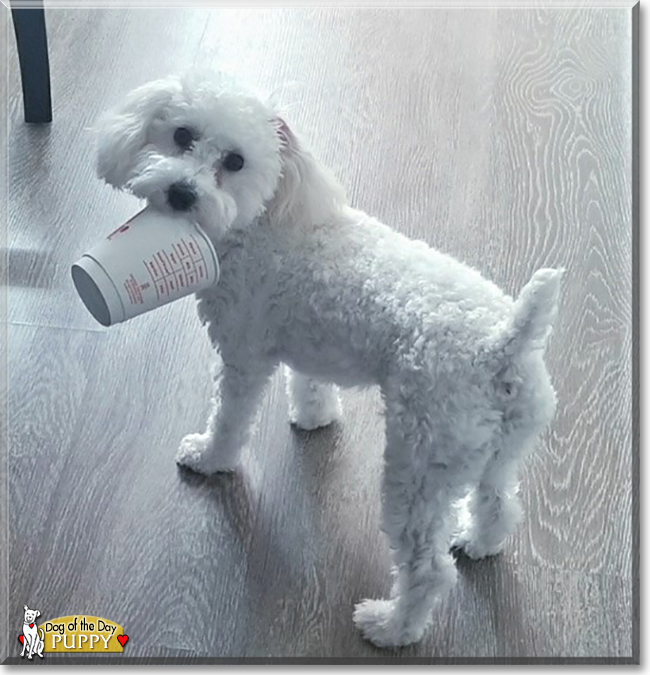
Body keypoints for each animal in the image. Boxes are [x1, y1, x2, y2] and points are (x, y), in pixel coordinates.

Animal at [93, 72, 560, 648]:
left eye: (235, 161)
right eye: (181, 135)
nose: (182, 192)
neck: (265, 218)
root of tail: (505, 341)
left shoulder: (243, 354)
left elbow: (229, 419)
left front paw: (209, 457)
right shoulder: (307, 339)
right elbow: (310, 383)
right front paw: (313, 418)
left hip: (421, 466)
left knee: (428, 569)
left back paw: (391, 627)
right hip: (498, 450)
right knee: (499, 503)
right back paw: (479, 543)